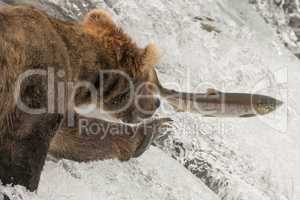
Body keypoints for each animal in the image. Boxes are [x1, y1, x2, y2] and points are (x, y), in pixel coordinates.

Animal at [0, 5, 170, 193]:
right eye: (149, 81)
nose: (156, 103)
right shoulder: (38, 84)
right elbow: (25, 149)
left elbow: (70, 135)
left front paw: (149, 133)